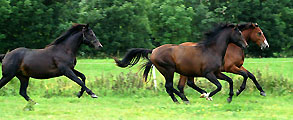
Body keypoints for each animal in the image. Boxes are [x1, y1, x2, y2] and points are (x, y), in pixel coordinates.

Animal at [114, 23, 246, 103]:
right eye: (239, 33)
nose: (246, 45)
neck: (212, 50)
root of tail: (153, 51)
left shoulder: (217, 73)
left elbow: (230, 80)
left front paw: (230, 97)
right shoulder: (208, 74)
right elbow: (219, 86)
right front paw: (207, 96)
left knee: (171, 87)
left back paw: (182, 99)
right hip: (168, 70)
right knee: (169, 86)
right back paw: (183, 99)